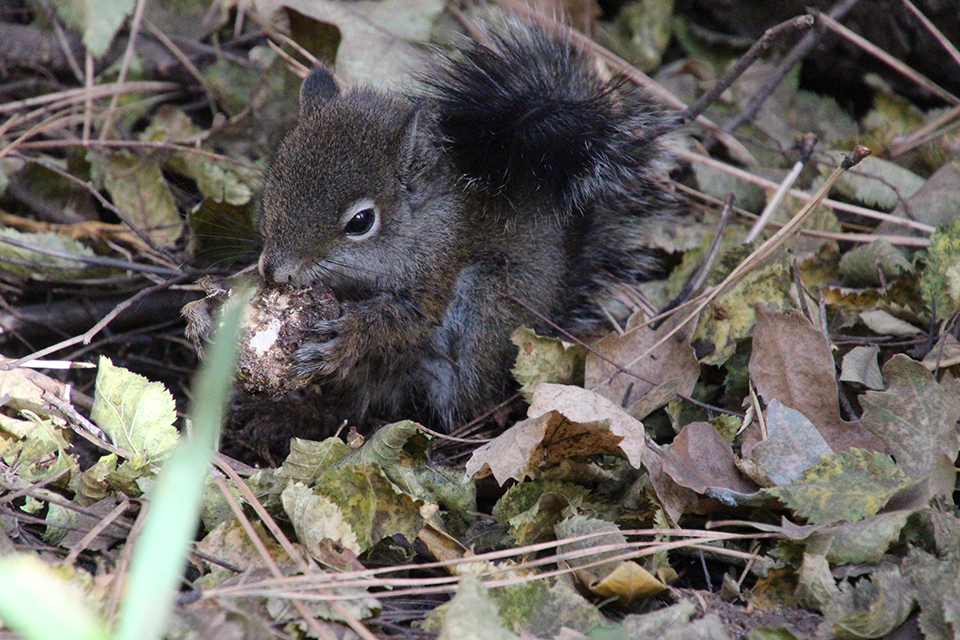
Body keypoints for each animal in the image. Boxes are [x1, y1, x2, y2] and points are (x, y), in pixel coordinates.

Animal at [258, 16, 688, 430]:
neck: (422, 224)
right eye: (275, 176)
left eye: (361, 221)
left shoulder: (439, 267)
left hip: (487, 308)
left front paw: (345, 337)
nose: (272, 270)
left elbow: (405, 321)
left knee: (469, 395)